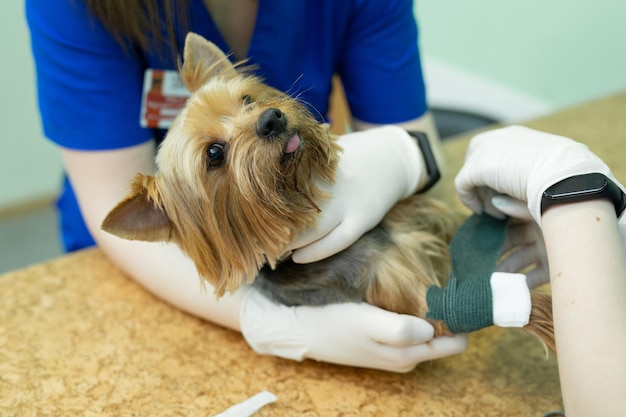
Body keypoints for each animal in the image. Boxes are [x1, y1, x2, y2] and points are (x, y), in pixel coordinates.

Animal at [100, 31, 552, 344]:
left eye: (246, 100)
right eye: (214, 154)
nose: (272, 119)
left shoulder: (422, 215)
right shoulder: (412, 296)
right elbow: (482, 306)